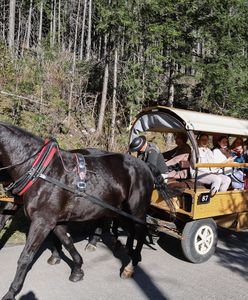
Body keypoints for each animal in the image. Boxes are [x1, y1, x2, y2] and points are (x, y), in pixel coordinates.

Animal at [0, 122, 173, 300]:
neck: (41, 171)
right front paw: (77, 268)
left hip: (137, 210)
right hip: (122, 210)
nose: (6, 188)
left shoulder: (42, 222)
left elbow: (26, 257)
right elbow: (67, 241)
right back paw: (127, 251)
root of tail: (146, 166)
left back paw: (130, 265)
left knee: (141, 231)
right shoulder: (53, 220)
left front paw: (11, 292)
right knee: (131, 230)